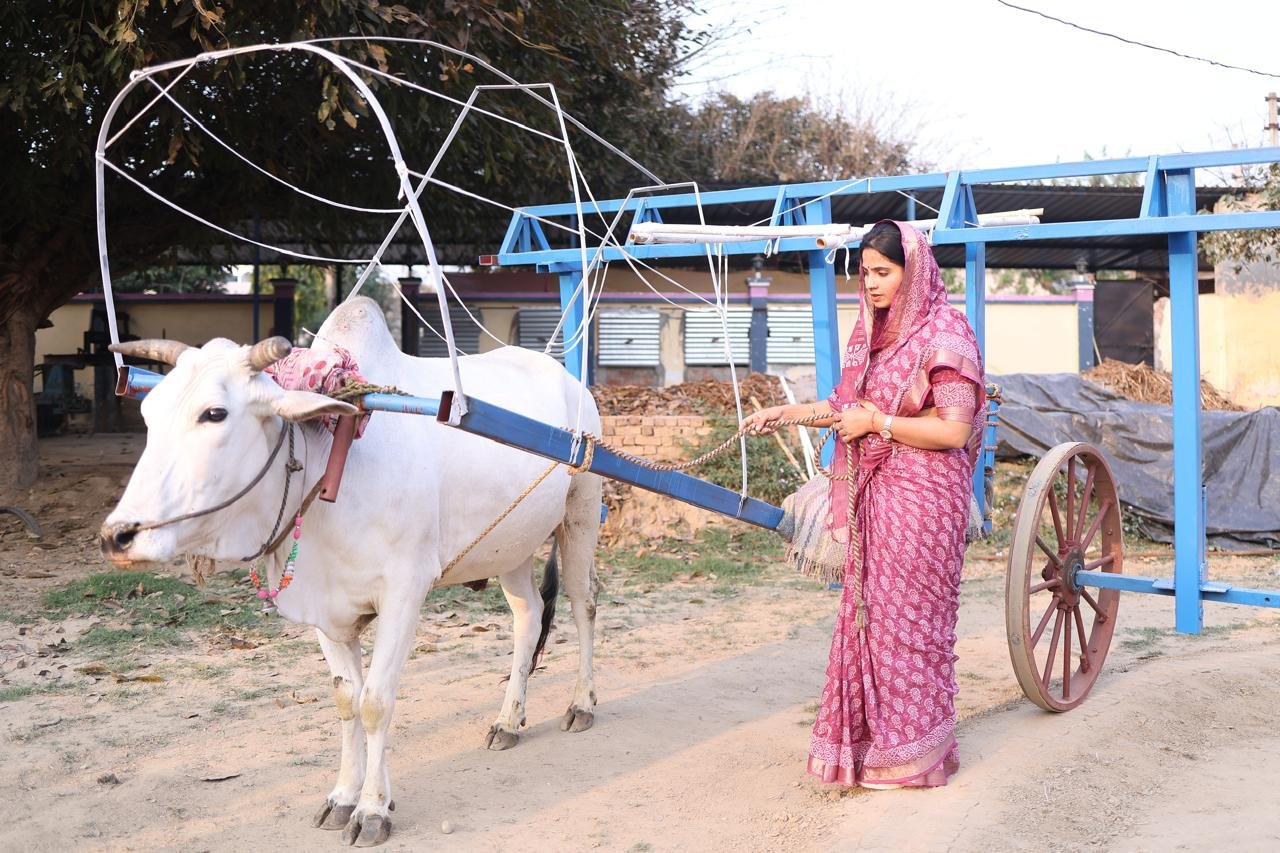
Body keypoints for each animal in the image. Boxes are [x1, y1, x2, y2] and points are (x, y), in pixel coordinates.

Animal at [100, 296, 603, 847]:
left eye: (214, 413)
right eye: (148, 412)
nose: (118, 536)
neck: (330, 465)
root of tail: (570, 381)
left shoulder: (404, 593)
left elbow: (375, 703)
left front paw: (373, 809)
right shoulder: (326, 611)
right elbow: (346, 700)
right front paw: (342, 797)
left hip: (581, 514)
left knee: (583, 605)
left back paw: (582, 704)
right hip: (509, 548)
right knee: (528, 615)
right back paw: (509, 720)